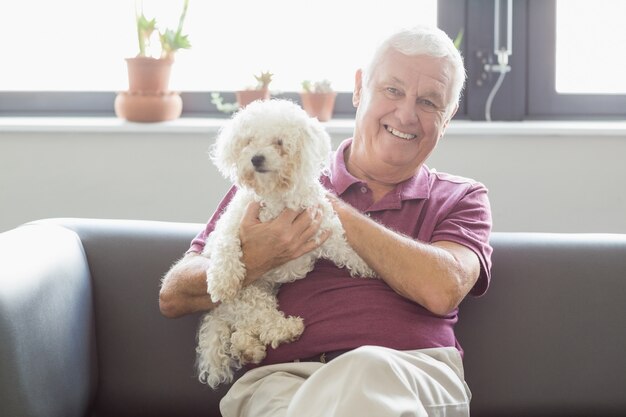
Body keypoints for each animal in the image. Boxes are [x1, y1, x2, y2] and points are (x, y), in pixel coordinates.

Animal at [195, 97, 372, 386]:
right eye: (248, 141)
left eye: (279, 142)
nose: (256, 158)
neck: (276, 197)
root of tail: (216, 314)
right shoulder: (231, 226)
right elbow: (225, 247)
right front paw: (222, 280)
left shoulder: (322, 226)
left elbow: (345, 248)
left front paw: (368, 266)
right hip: (248, 293)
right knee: (260, 317)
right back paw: (285, 330)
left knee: (245, 327)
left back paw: (249, 348)